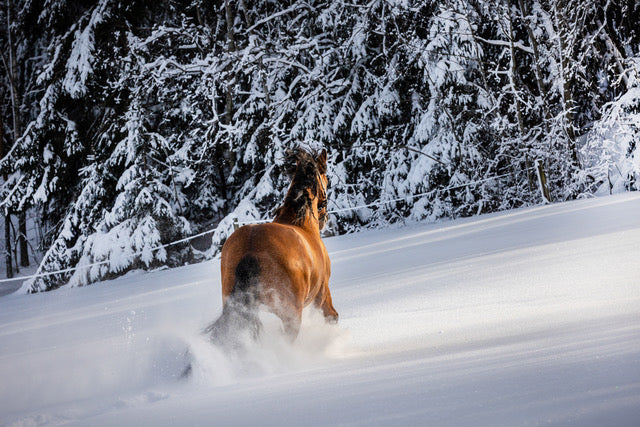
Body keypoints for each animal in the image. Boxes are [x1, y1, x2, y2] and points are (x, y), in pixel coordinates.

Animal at [206, 148, 338, 344]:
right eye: (325, 179)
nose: (324, 218)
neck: (301, 224)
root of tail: (251, 247)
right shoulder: (321, 295)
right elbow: (332, 317)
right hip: (291, 315)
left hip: (242, 309)